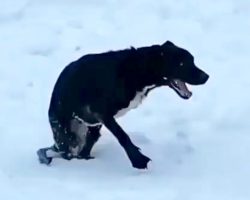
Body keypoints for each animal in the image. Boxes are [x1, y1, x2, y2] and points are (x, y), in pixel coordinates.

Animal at [37, 40, 209, 169]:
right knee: (62, 151)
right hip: (67, 136)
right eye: (181, 64)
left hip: (90, 130)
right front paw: (138, 160)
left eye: (192, 60)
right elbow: (122, 136)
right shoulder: (102, 113)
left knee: (81, 150)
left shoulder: (101, 118)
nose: (206, 76)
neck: (138, 69)